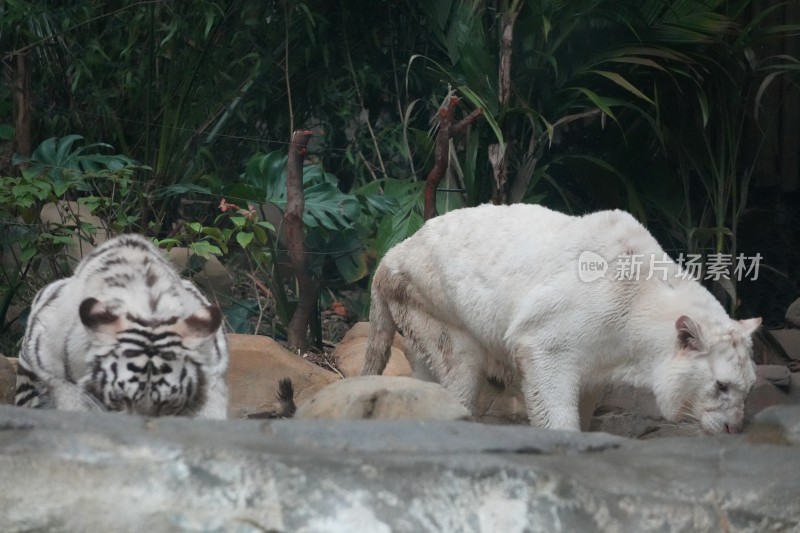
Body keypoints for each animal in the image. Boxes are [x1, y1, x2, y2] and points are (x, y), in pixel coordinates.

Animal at [364, 203, 764, 432]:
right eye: (721, 385)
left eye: (748, 387)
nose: (734, 428)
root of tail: (389, 256)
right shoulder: (563, 323)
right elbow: (546, 370)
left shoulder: (604, 348)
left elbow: (588, 387)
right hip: (434, 293)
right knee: (461, 364)